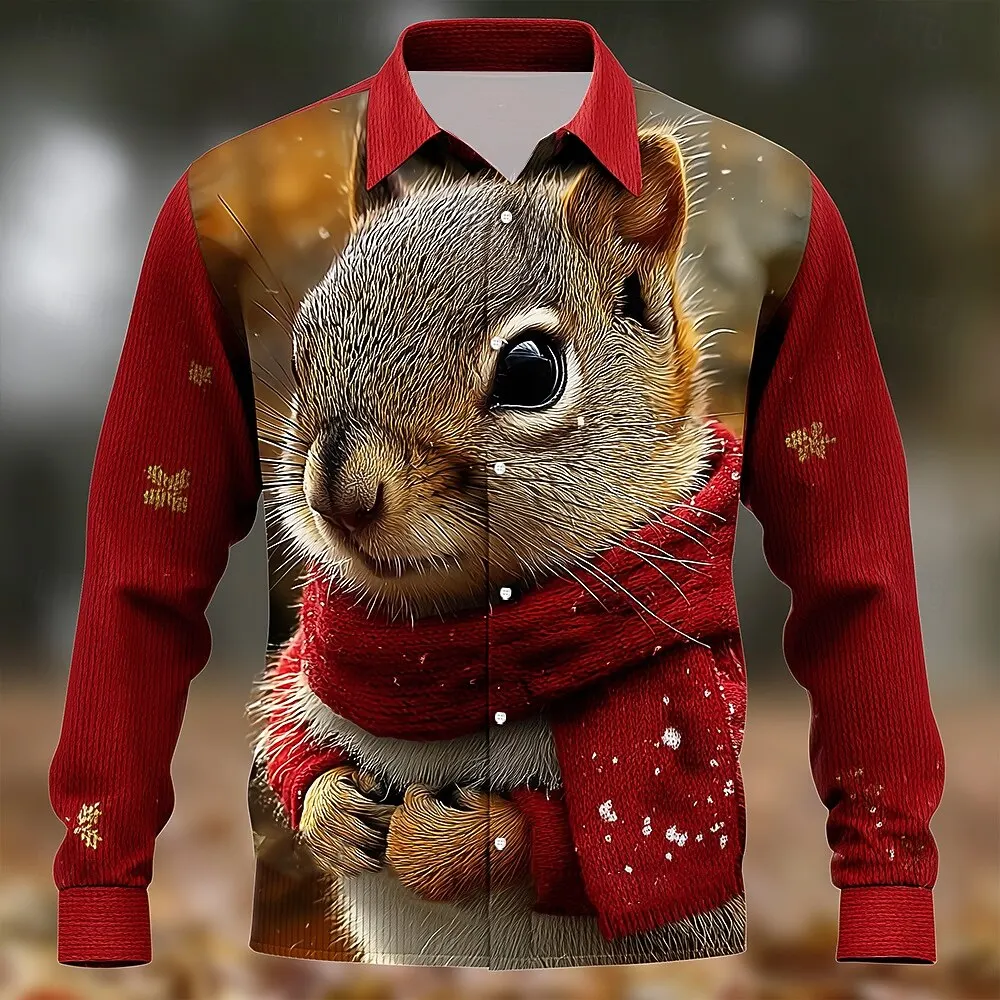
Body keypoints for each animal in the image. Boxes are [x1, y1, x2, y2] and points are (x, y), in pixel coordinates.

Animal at [257, 120, 726, 967]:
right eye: (304, 350)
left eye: (531, 370)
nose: (338, 494)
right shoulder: (304, 663)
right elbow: (284, 722)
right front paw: (330, 809)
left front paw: (443, 841)